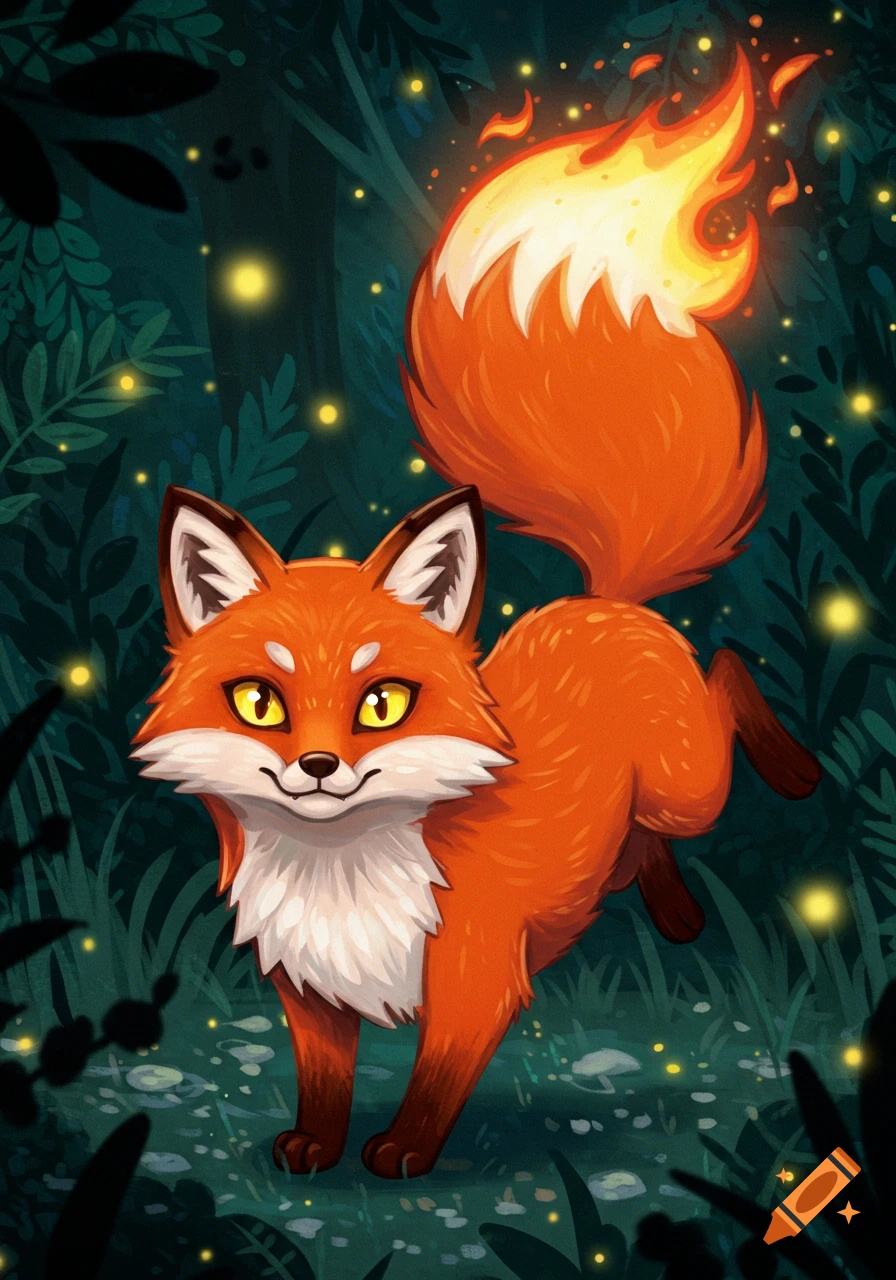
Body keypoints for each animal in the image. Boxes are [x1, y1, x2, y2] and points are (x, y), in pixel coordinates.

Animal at [133, 49, 820, 1180]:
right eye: (258, 702)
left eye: (381, 704)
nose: (316, 766)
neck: (344, 874)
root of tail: (601, 599)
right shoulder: (309, 987)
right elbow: (323, 1078)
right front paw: (315, 1145)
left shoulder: (475, 975)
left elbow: (438, 1077)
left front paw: (403, 1152)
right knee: (636, 844)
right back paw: (674, 910)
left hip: (693, 785)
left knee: (723, 686)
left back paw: (784, 779)